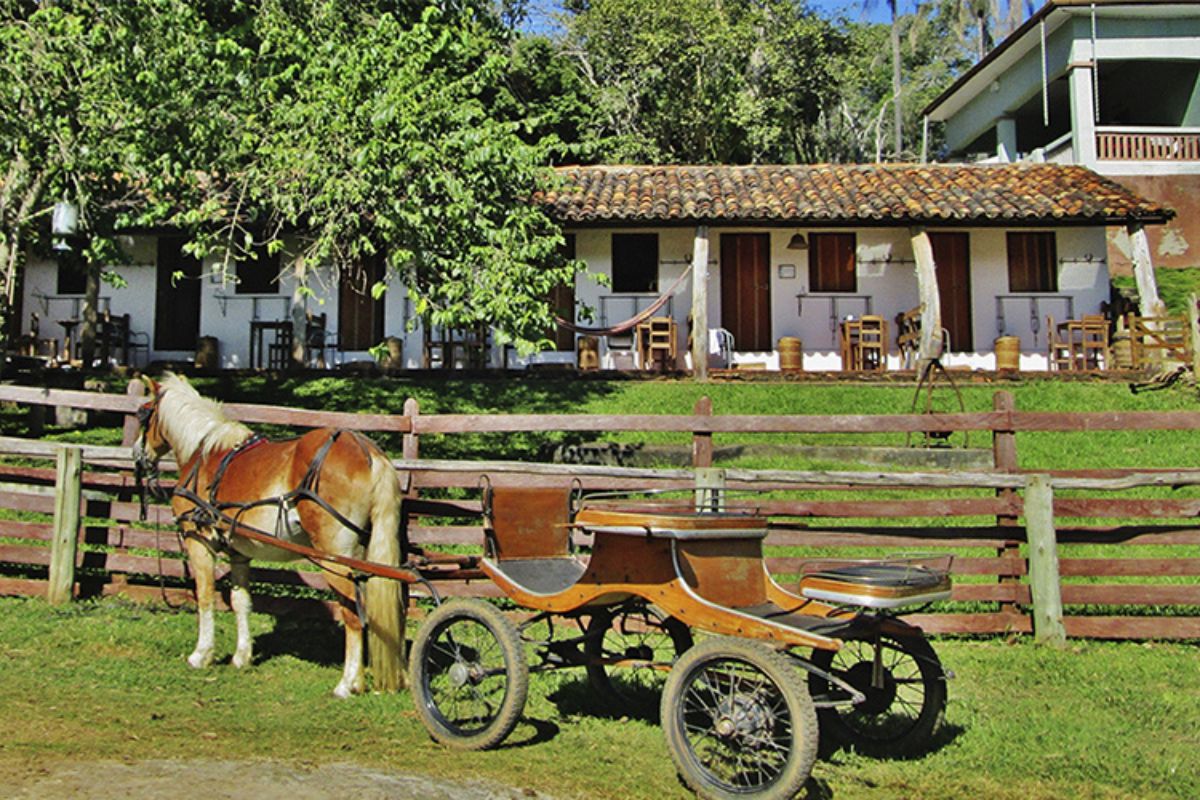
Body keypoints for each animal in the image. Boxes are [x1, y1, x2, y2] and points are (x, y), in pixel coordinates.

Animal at [130, 374, 403, 695]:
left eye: (143, 412)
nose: (137, 454)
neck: (204, 453)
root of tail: (367, 451)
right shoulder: (239, 552)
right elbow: (241, 601)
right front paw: (241, 656)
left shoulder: (199, 542)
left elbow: (205, 596)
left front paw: (201, 654)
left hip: (334, 558)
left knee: (352, 615)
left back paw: (347, 684)